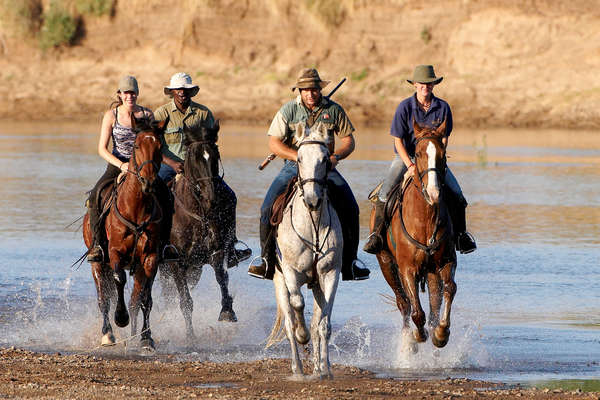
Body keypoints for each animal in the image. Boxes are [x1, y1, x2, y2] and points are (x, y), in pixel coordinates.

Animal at [83, 118, 168, 350]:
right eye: (137, 146)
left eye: (160, 147)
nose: (148, 182)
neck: (136, 207)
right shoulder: (115, 252)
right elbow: (119, 279)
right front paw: (120, 318)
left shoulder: (150, 257)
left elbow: (145, 298)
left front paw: (146, 338)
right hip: (98, 264)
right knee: (103, 298)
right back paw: (108, 334)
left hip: (137, 266)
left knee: (135, 299)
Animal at [161, 120, 243, 340]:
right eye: (193, 157)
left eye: (215, 154)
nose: (211, 197)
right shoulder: (176, 262)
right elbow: (185, 301)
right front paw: (190, 336)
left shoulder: (216, 252)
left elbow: (222, 278)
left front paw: (227, 311)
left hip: (194, 270)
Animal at [266, 131, 342, 378]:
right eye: (298, 159)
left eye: (325, 159)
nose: (312, 200)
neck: (313, 226)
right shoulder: (290, 271)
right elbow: (298, 303)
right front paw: (302, 335)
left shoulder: (331, 274)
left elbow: (323, 325)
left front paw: (325, 369)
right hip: (279, 281)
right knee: (289, 323)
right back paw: (297, 368)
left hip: (317, 285)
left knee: (318, 322)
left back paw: (319, 367)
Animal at [368, 119, 458, 354]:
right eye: (417, 153)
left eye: (443, 153)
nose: (434, 193)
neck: (425, 219)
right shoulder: (407, 268)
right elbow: (416, 311)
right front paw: (417, 336)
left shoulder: (445, 262)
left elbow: (450, 289)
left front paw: (441, 333)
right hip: (386, 263)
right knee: (404, 303)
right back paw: (409, 339)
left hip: (431, 272)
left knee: (434, 305)